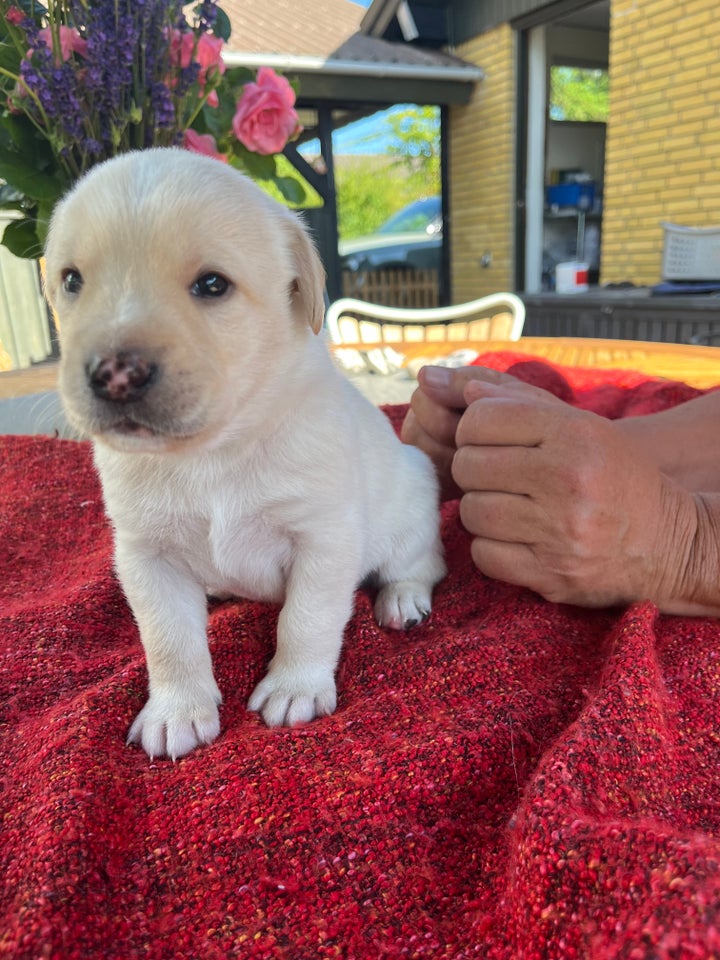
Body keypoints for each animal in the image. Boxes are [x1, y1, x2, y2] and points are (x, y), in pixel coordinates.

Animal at [45, 148, 444, 756]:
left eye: (213, 284)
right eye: (72, 280)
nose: (114, 375)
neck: (211, 451)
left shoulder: (323, 538)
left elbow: (306, 618)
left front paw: (294, 687)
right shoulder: (146, 555)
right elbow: (168, 639)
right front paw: (177, 710)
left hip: (412, 504)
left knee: (422, 563)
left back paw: (401, 599)